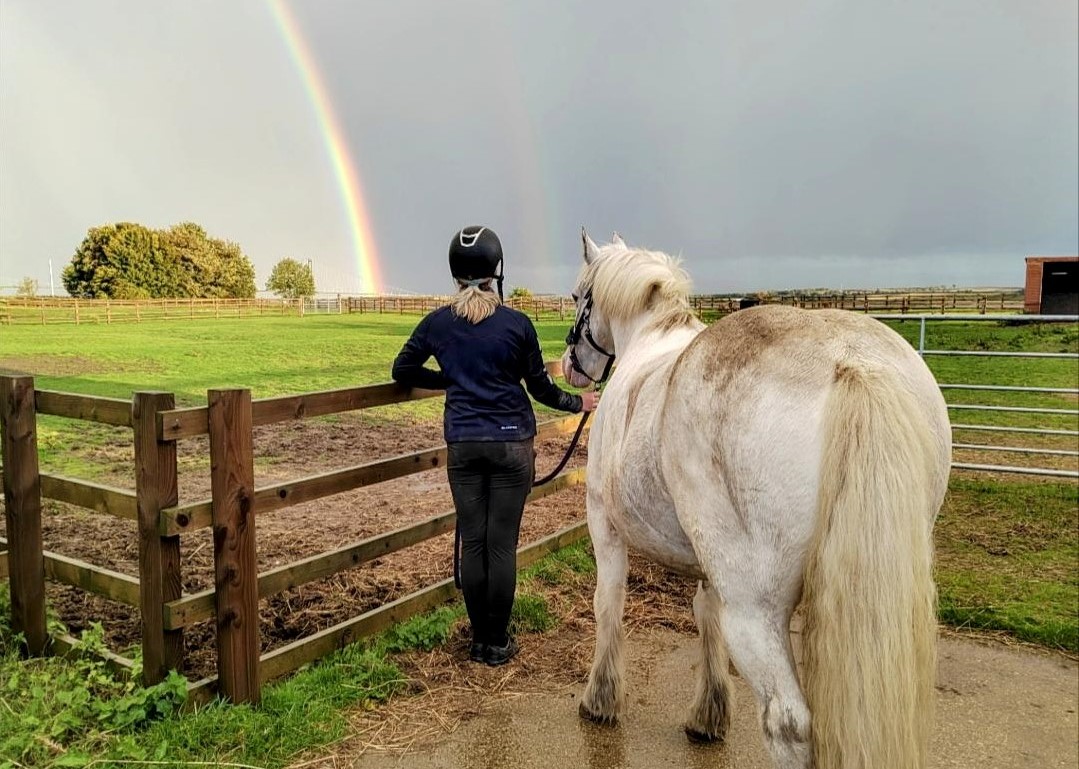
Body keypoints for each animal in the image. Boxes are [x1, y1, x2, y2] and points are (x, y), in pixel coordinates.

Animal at [561, 232, 949, 767]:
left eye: (579, 295)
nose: (569, 367)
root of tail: (851, 362)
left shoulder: (605, 526)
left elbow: (607, 604)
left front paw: (599, 701)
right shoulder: (708, 564)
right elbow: (705, 618)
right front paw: (708, 715)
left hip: (756, 612)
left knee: (788, 722)